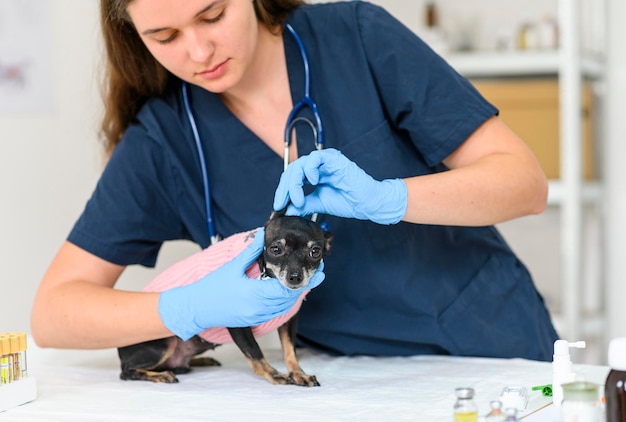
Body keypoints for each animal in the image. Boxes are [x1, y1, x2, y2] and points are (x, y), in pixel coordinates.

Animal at [116, 213, 332, 388]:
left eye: (315, 252)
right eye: (276, 249)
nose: (295, 277)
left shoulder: (288, 322)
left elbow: (290, 352)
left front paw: (299, 374)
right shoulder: (237, 326)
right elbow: (256, 353)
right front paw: (274, 375)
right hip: (163, 344)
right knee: (126, 372)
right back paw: (159, 375)